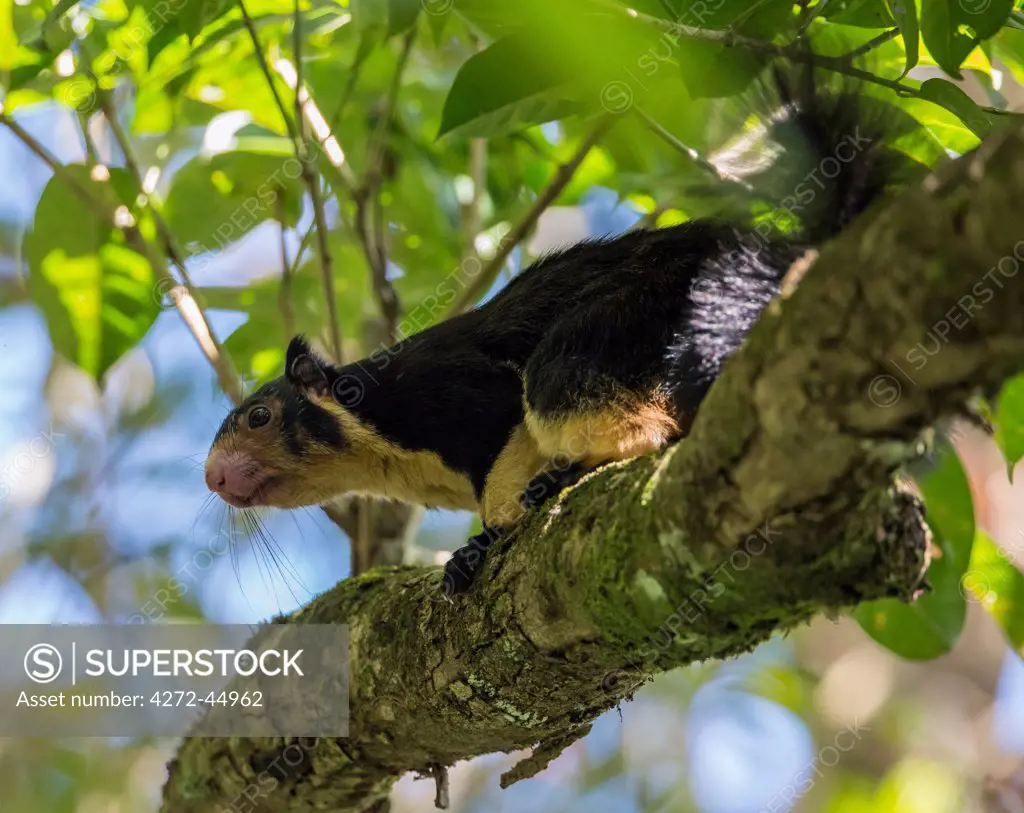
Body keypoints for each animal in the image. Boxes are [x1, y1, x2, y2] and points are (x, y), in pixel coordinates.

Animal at [203, 66, 925, 593]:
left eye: (260, 415)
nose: (212, 479)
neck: (389, 449)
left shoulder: (447, 392)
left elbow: (501, 464)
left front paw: (486, 538)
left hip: (624, 324)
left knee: (624, 415)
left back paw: (567, 473)